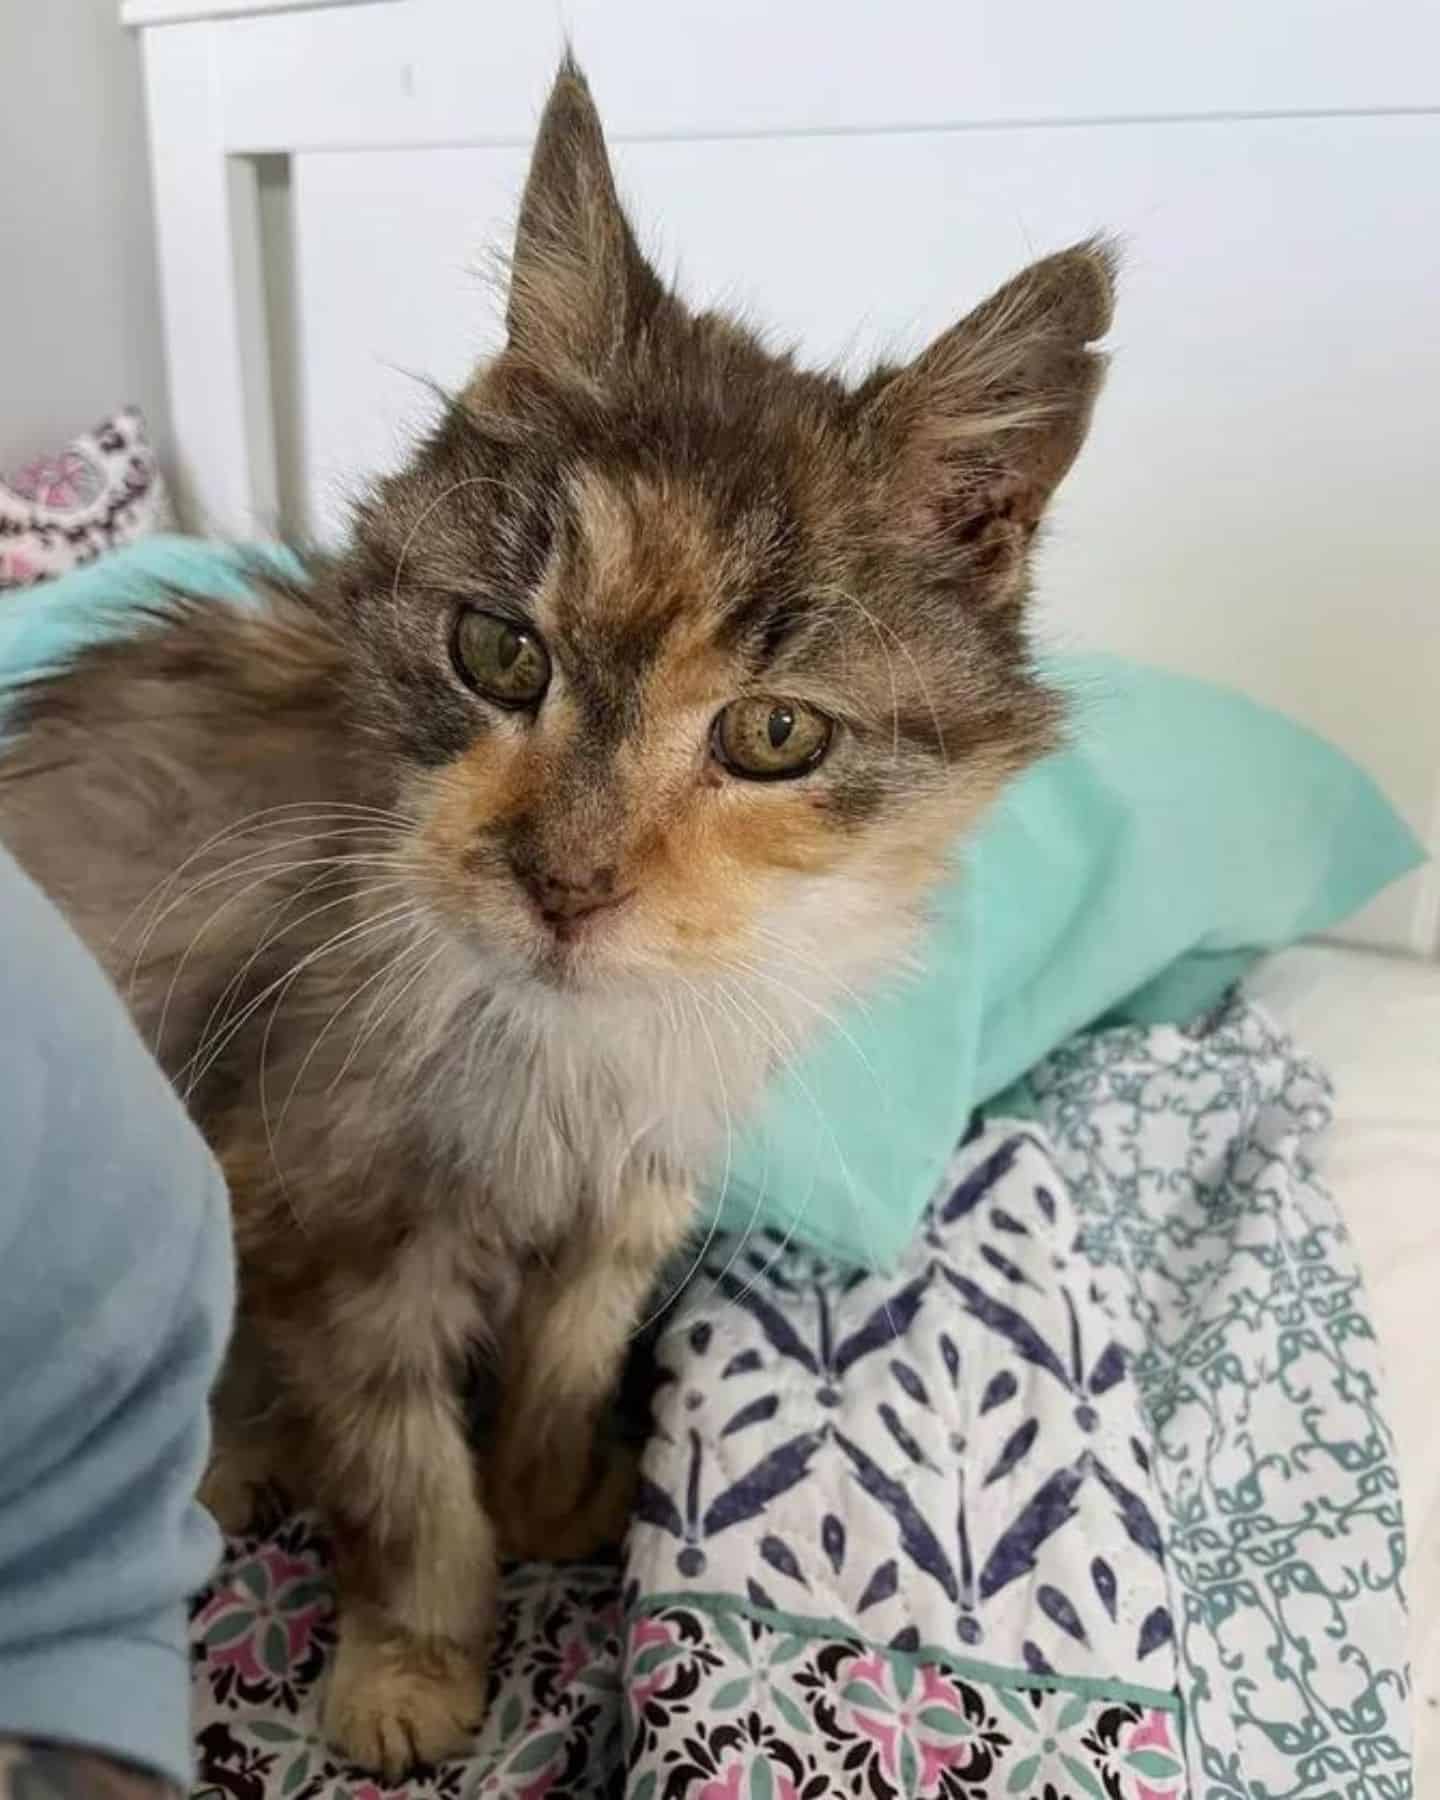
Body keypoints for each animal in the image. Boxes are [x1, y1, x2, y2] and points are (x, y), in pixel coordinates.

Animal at [0, 52, 1116, 1771]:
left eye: (773, 736)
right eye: (499, 653)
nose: (569, 882)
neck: (567, 1060)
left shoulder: (627, 1209)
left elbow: (555, 1380)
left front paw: (552, 1500)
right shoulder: (330, 1215)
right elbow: (407, 1480)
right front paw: (413, 1668)